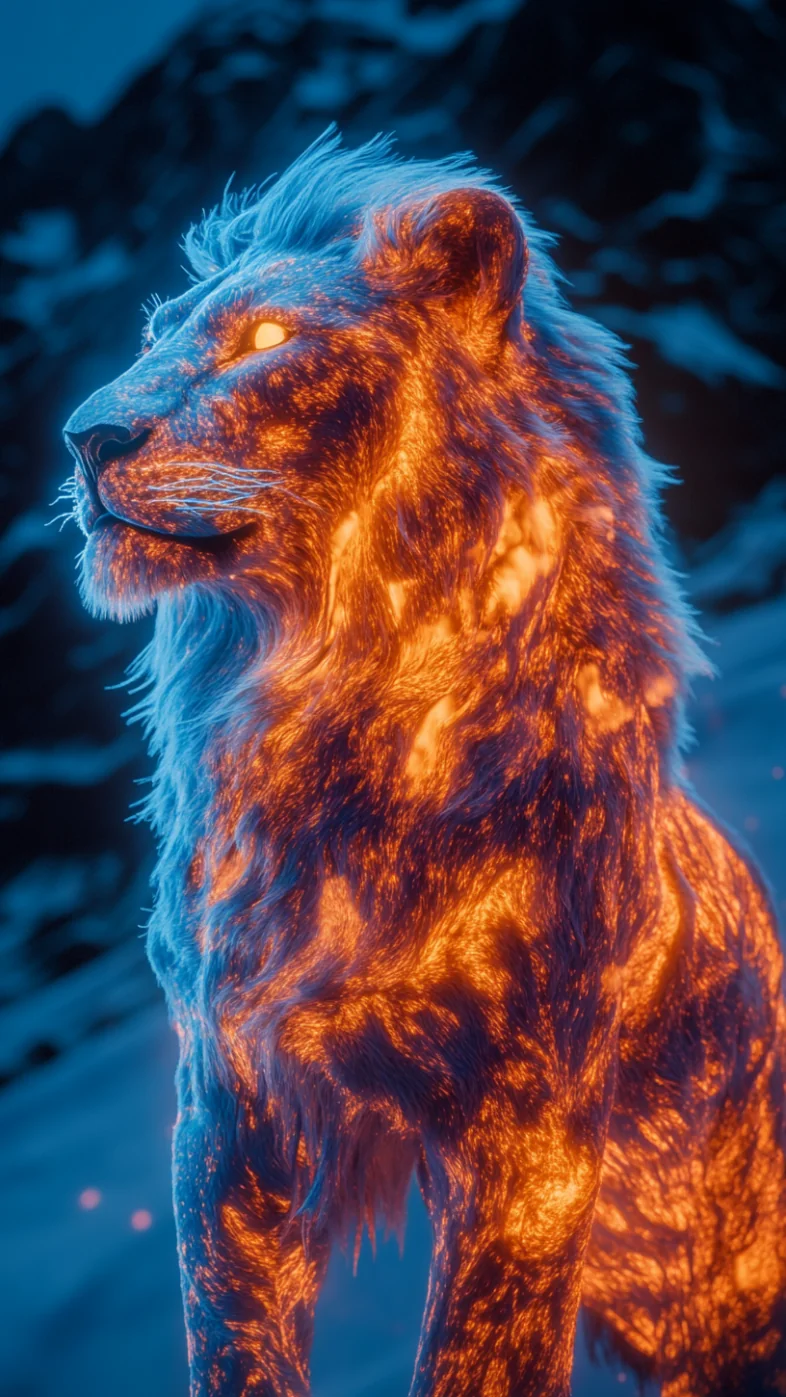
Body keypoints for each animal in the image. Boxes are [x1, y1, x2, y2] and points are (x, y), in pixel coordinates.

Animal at [63, 131, 786, 1396]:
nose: (85, 436)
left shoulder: (534, 1128)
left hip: (721, 1271)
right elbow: (231, 1336)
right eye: (156, 332)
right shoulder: (231, 1094)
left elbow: (482, 1349)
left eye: (268, 337)